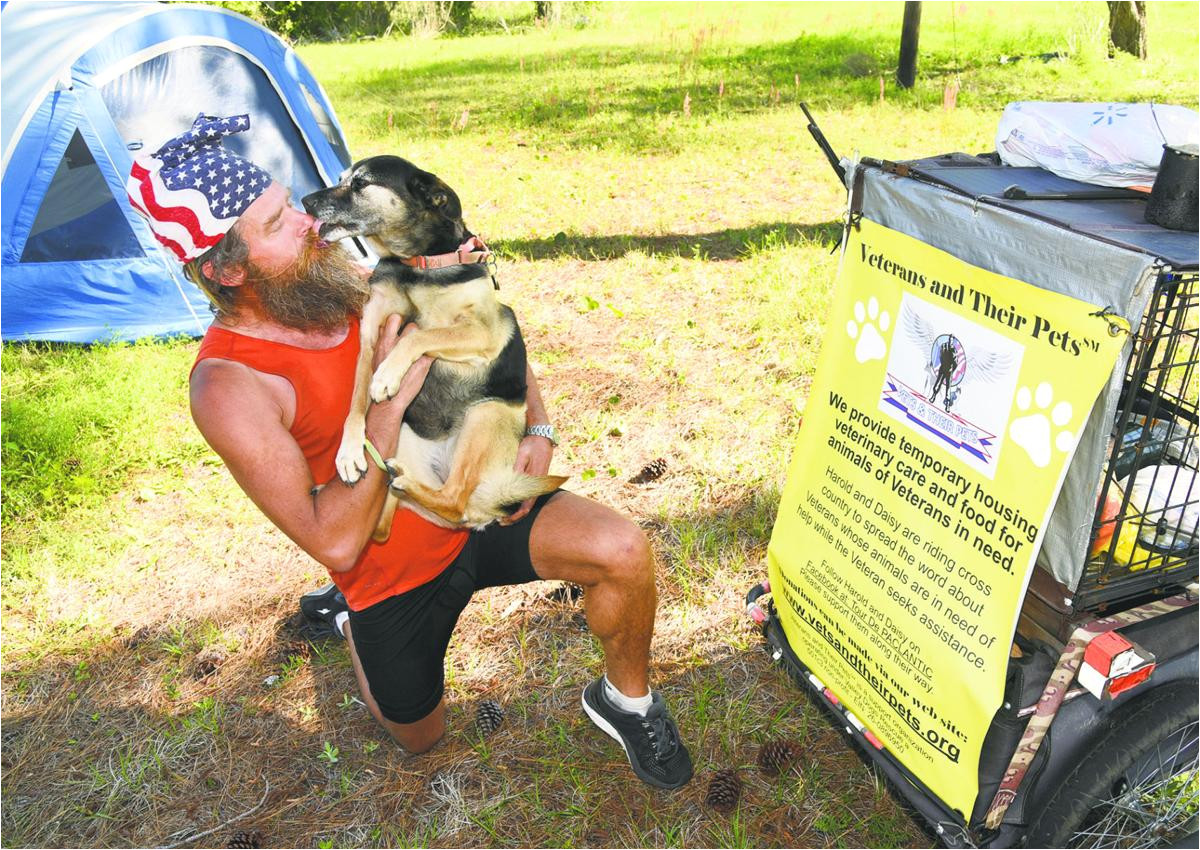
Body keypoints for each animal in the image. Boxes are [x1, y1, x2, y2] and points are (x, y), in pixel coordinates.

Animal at [300, 154, 561, 537]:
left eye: (361, 183)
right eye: (341, 178)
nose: (305, 201)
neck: (415, 266)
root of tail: (487, 510)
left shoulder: (485, 331)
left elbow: (421, 334)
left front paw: (387, 375)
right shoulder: (370, 339)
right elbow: (356, 403)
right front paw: (348, 452)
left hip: (487, 413)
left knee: (454, 500)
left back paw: (407, 482)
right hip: (406, 436)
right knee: (386, 527)